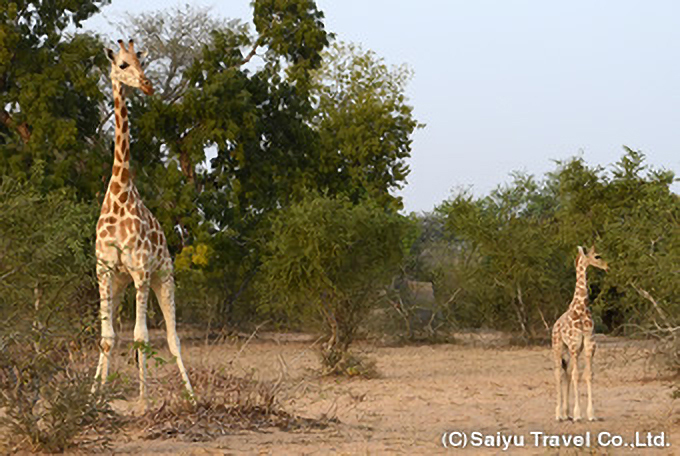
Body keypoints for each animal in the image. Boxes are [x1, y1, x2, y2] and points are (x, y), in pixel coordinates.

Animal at [552, 246, 604, 420]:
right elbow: (576, 375)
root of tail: (554, 325)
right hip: (558, 347)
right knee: (558, 374)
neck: (581, 308)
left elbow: (587, 374)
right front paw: (577, 415)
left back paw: (565, 413)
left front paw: (590, 415)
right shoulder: (574, 345)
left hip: (571, 350)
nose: (606, 266)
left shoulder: (588, 344)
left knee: (566, 373)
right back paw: (558, 414)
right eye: (597, 256)